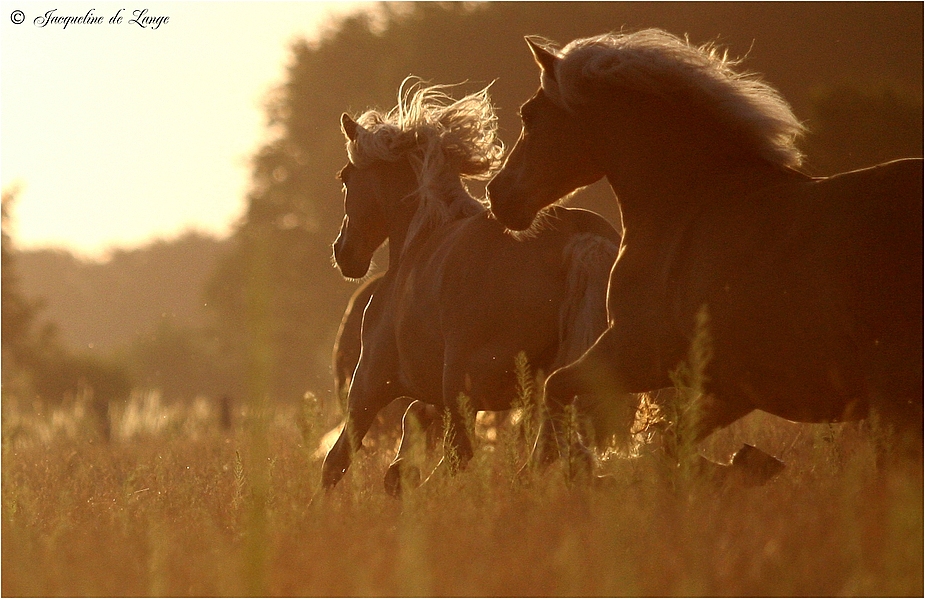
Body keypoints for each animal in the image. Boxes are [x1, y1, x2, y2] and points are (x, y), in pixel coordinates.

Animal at [324, 81, 620, 492]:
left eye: (346, 177)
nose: (344, 252)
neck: (417, 240)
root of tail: (582, 241)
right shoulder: (432, 394)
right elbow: (413, 419)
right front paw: (400, 470)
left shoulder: (370, 382)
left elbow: (336, 461)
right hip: (552, 386)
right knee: (550, 451)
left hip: (468, 386)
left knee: (465, 453)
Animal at [488, 29, 920, 460]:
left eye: (528, 115)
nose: (497, 193)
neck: (687, 206)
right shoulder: (731, 391)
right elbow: (671, 448)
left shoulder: (635, 354)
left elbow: (556, 389)